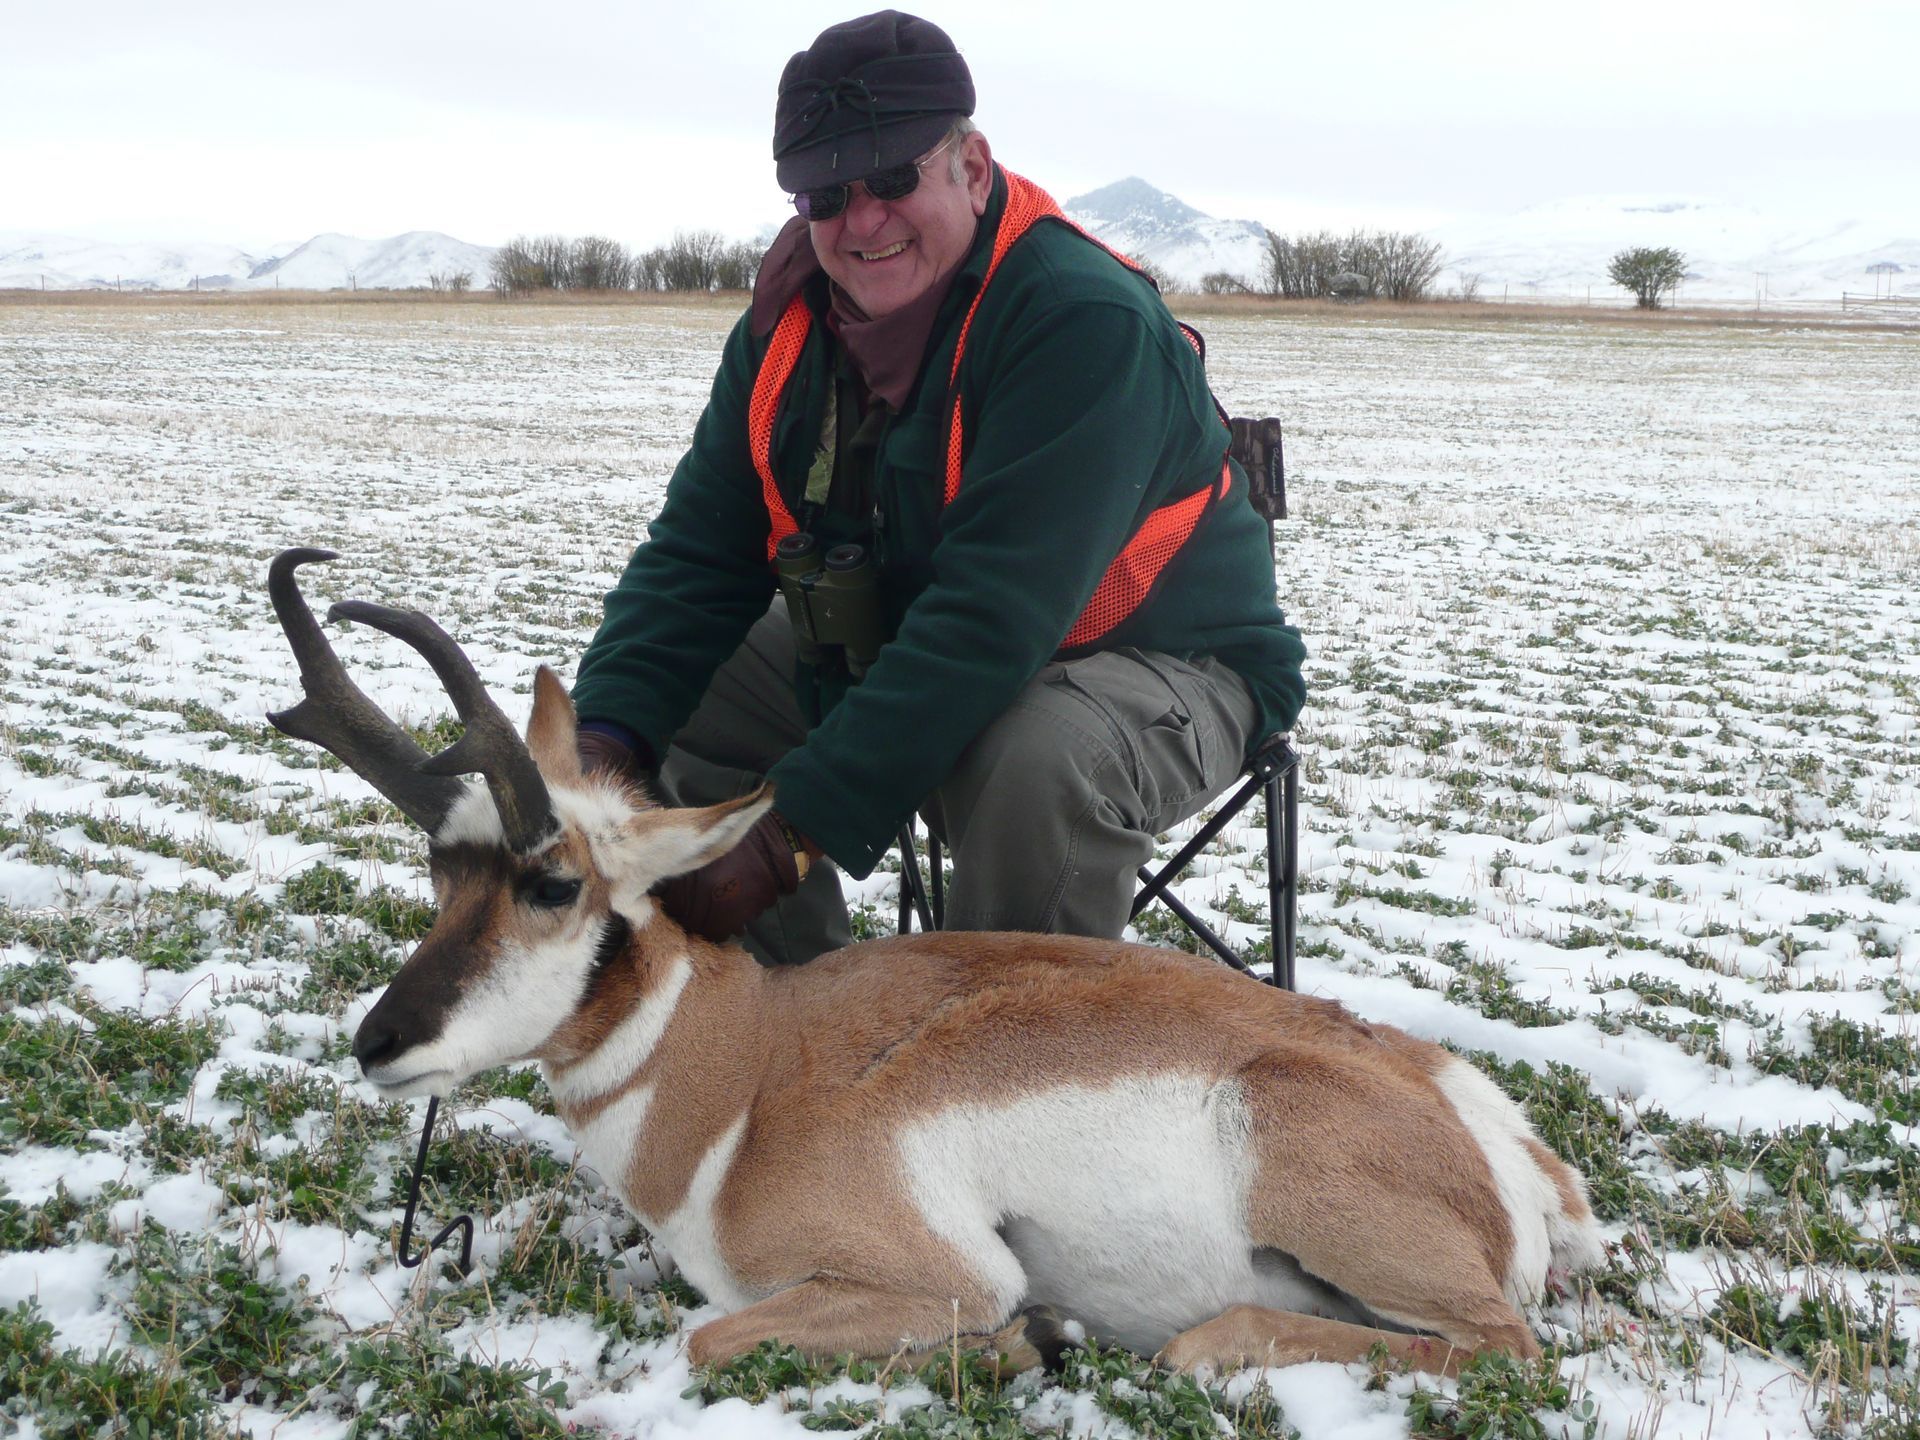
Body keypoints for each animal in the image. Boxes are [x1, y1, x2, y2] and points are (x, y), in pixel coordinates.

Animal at [267, 547, 1603, 1377]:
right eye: (439, 872)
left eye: (552, 885)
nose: (378, 1042)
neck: (744, 1070)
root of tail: (1487, 1125)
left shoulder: (935, 1278)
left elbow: (708, 1336)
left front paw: (1033, 1340)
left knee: (1500, 1348)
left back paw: (1197, 1347)